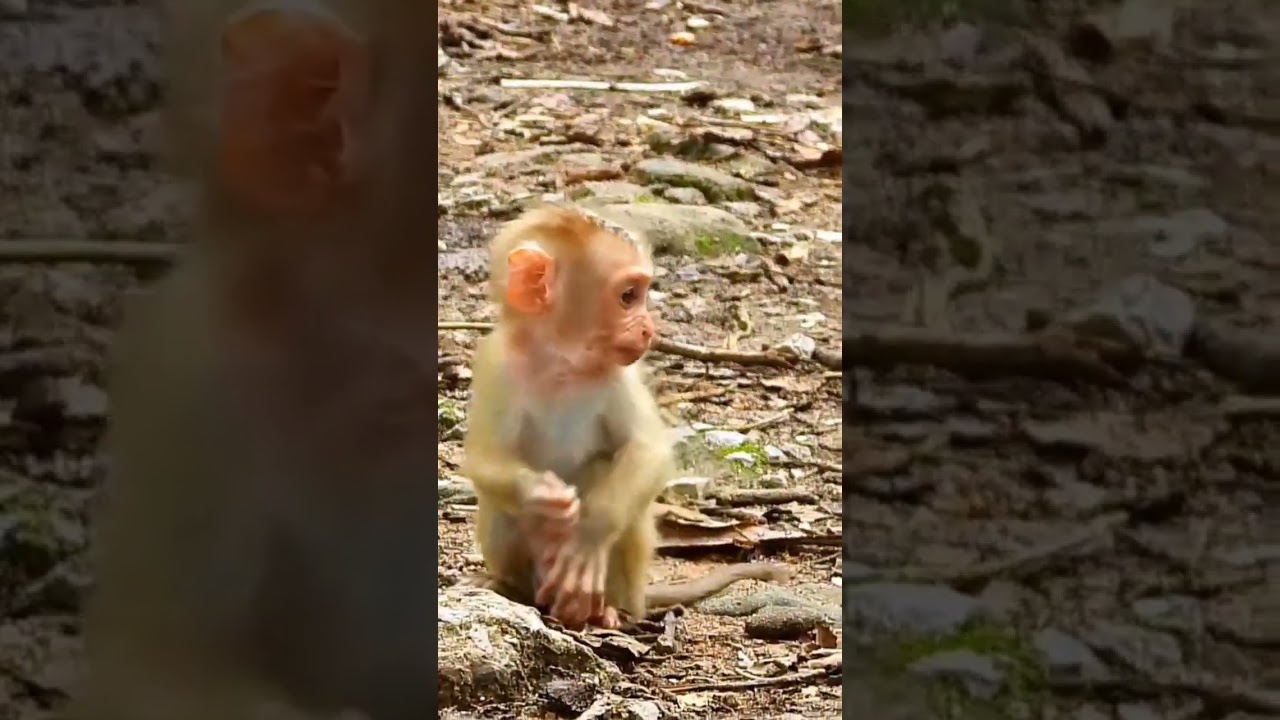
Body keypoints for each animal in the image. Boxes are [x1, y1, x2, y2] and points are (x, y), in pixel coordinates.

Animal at [462, 206, 790, 631]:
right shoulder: (494, 364)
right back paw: (508, 586)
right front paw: (539, 494)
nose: (649, 329)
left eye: (641, 293)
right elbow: (483, 461)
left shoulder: (622, 375)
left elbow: (647, 451)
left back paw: (606, 611)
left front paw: (588, 536)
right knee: (500, 507)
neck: (561, 362)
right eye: (628, 296)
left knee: (605, 470)